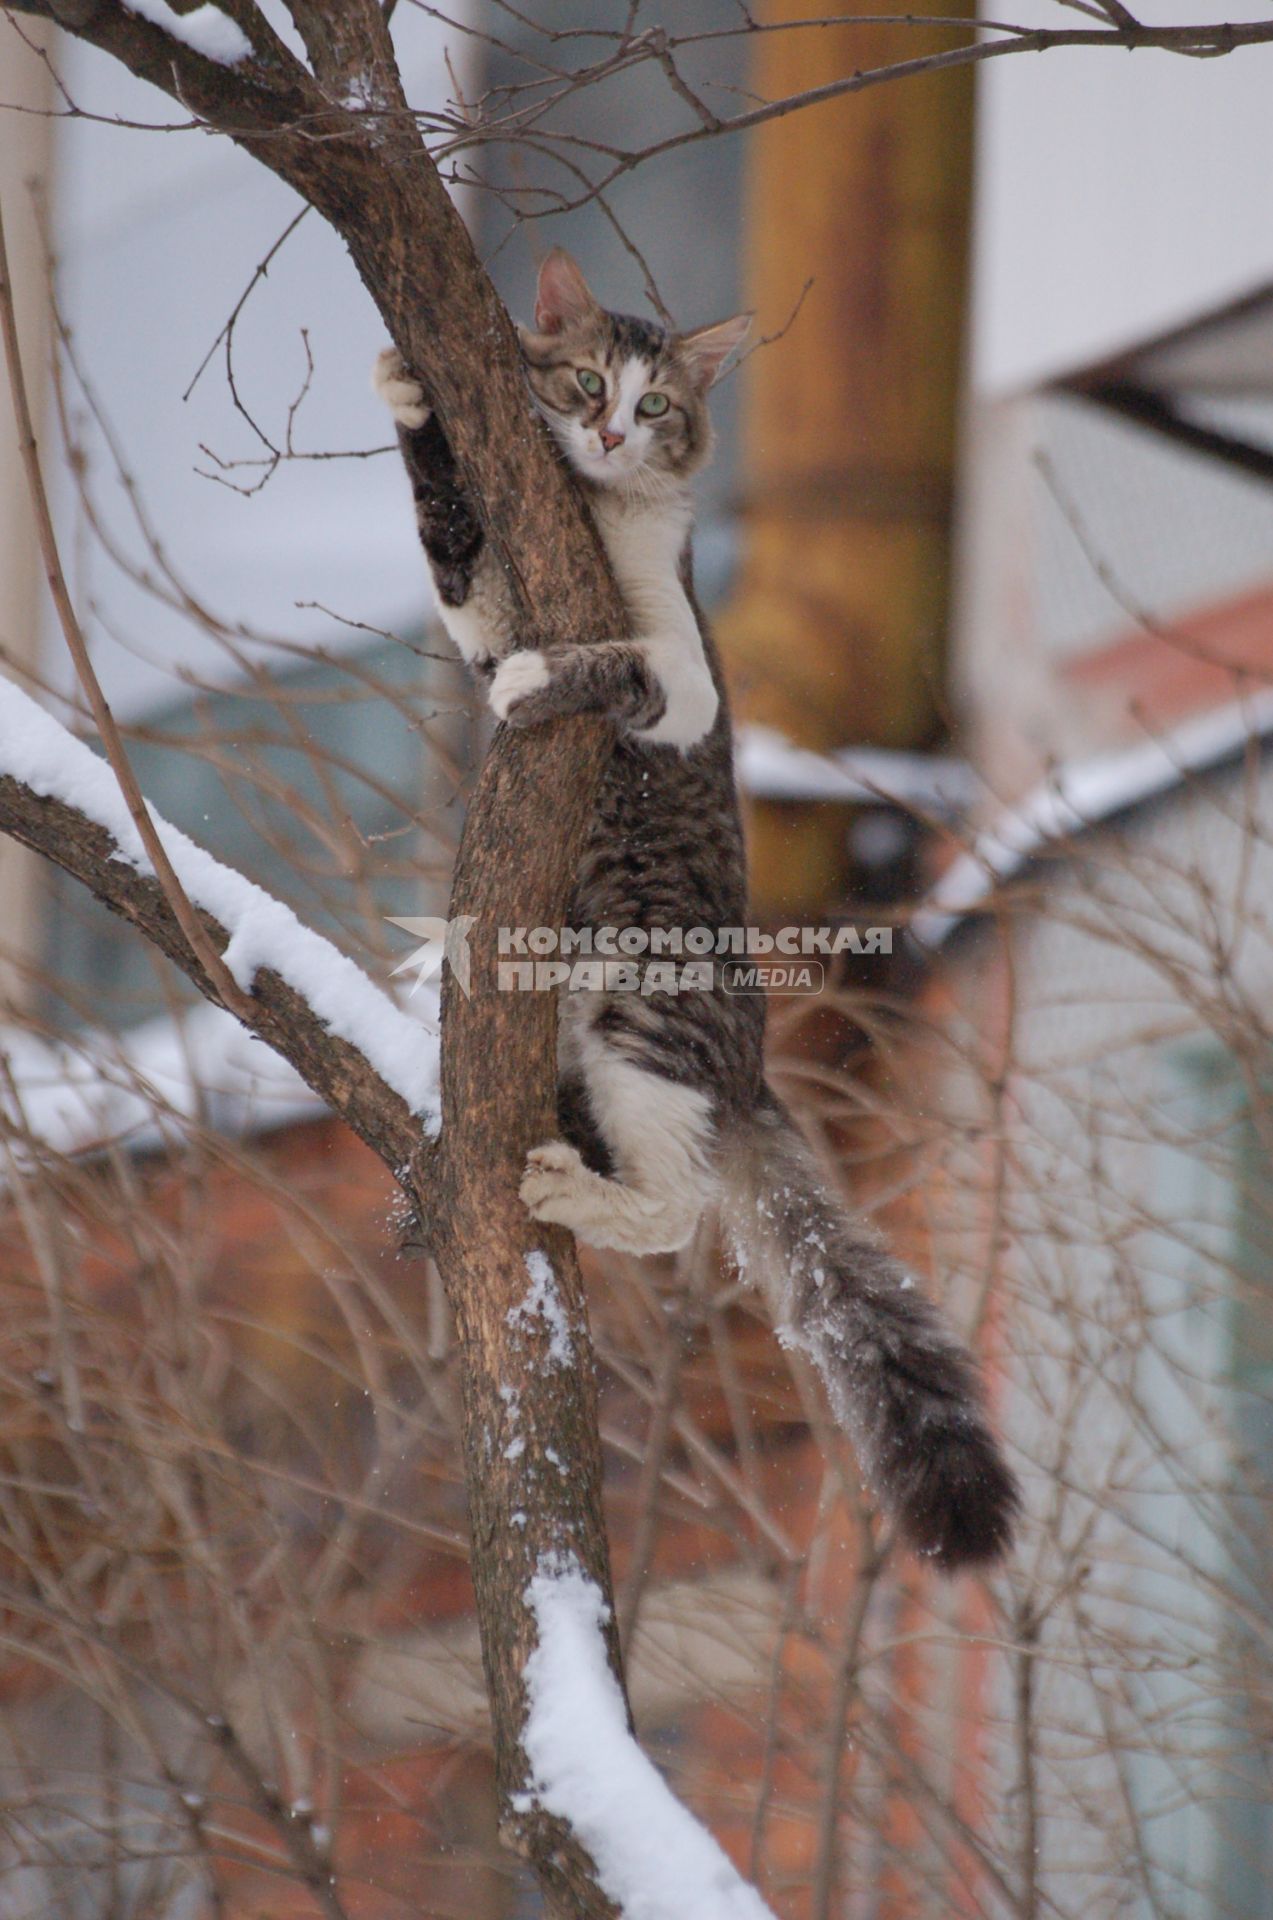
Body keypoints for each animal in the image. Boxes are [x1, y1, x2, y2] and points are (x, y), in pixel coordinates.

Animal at [374, 247, 1021, 1566]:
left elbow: (608, 663)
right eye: (583, 382)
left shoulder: (679, 677)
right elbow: (454, 555)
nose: (614, 430)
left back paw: (568, 1190)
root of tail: (748, 1070)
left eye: (658, 401)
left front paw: (540, 681)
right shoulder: (482, 605)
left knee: (673, 1211)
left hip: (643, 1016)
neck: (599, 521)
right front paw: (413, 401)